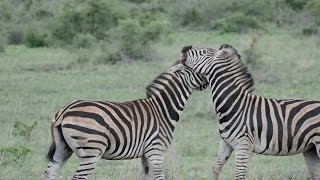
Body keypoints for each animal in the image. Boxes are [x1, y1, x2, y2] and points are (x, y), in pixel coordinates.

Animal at [43, 62, 209, 180]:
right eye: (196, 69)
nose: (207, 81)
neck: (163, 109)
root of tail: (64, 111)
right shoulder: (156, 150)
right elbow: (160, 177)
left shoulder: (146, 154)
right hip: (92, 150)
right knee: (79, 177)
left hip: (63, 148)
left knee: (50, 172)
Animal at [181, 44, 320, 179]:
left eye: (203, 52)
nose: (184, 49)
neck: (236, 105)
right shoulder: (226, 143)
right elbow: (216, 167)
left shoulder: (243, 145)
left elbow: (239, 175)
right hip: (311, 149)